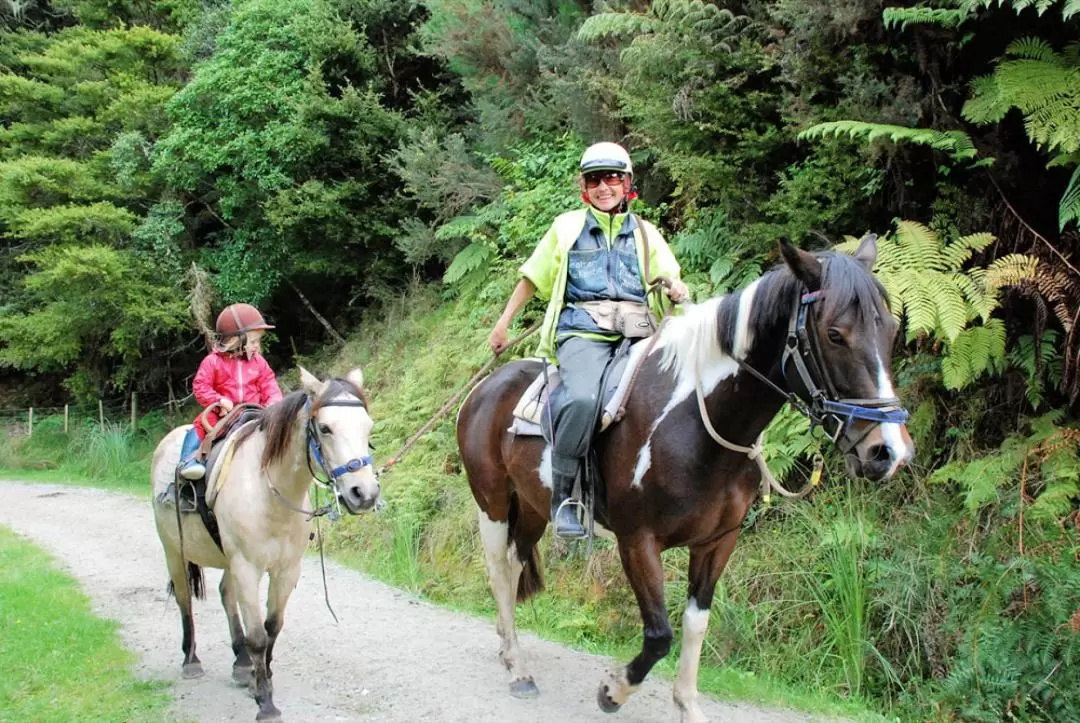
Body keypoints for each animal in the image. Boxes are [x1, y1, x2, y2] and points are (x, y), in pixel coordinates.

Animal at [150, 369, 380, 717]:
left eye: (368, 426)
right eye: (325, 428)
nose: (363, 493)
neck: (270, 494)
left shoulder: (286, 570)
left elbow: (272, 627)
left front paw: (263, 677)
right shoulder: (247, 568)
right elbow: (258, 635)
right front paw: (266, 702)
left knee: (225, 595)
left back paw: (242, 664)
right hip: (173, 550)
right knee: (184, 598)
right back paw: (191, 660)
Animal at [455, 237, 911, 721]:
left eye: (890, 330)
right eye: (834, 334)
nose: (889, 452)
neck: (695, 420)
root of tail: (484, 388)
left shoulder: (718, 541)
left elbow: (695, 625)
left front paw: (688, 704)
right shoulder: (637, 541)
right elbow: (660, 635)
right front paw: (613, 690)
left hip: (534, 508)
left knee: (515, 563)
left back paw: (509, 651)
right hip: (493, 503)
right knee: (498, 572)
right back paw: (518, 668)